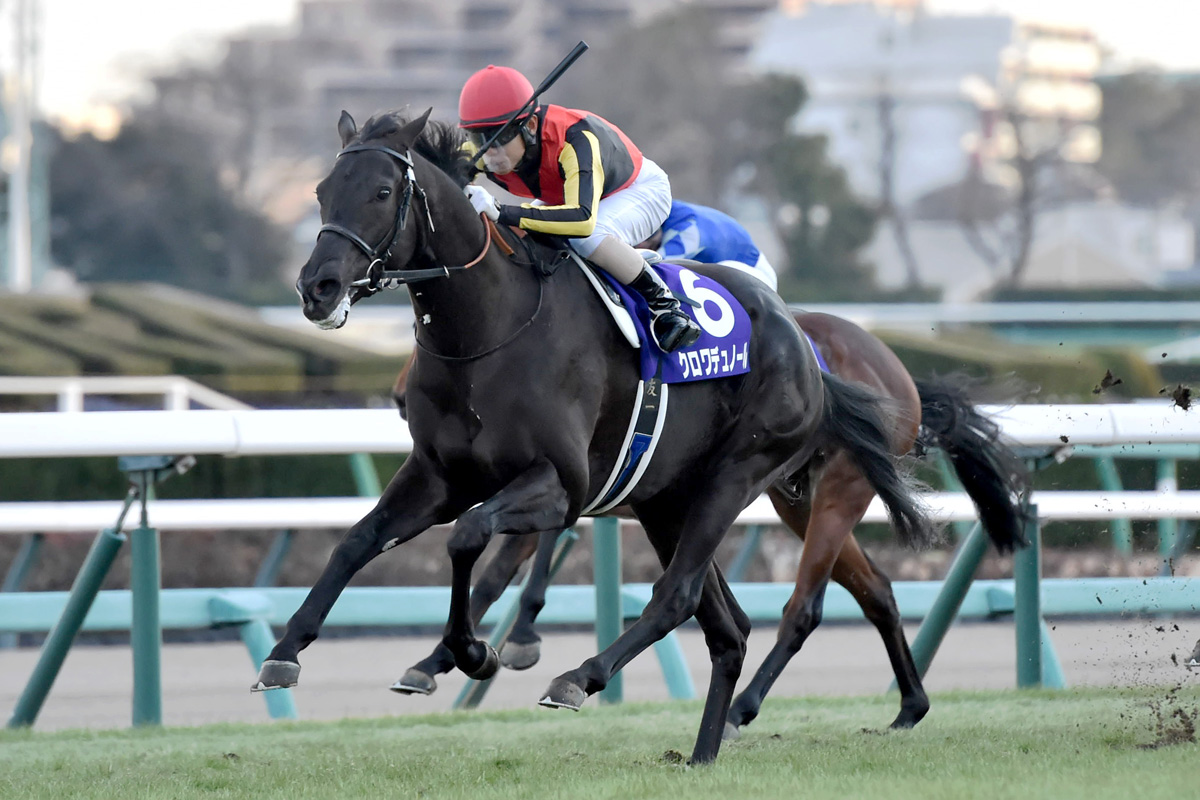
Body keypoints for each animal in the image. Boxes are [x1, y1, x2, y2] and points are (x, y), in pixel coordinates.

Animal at [259, 108, 936, 764]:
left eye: (381, 191)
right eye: (321, 192)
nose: (317, 288)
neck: (486, 331)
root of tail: (802, 342)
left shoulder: (561, 484)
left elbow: (469, 538)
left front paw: (474, 652)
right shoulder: (438, 476)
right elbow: (358, 541)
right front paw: (285, 651)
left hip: (743, 477)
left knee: (681, 595)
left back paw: (580, 679)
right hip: (667, 498)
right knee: (732, 626)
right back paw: (704, 752)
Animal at [389, 314, 1030, 735]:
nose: (397, 396)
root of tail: (894, 369)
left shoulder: (584, 477)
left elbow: (510, 562)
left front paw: (503, 641)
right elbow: (503, 566)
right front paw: (437, 661)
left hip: (835, 491)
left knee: (805, 606)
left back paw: (744, 707)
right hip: (795, 501)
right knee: (875, 589)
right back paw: (909, 706)